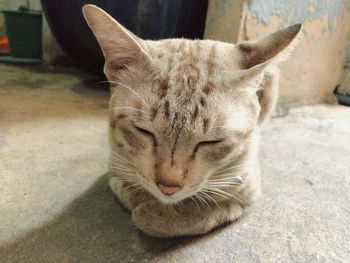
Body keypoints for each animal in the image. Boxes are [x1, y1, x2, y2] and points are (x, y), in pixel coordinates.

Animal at [82, 4, 300, 239]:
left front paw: (153, 210)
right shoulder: (115, 164)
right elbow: (123, 183)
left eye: (211, 142)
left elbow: (189, 212)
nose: (168, 188)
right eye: (144, 131)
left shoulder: (246, 193)